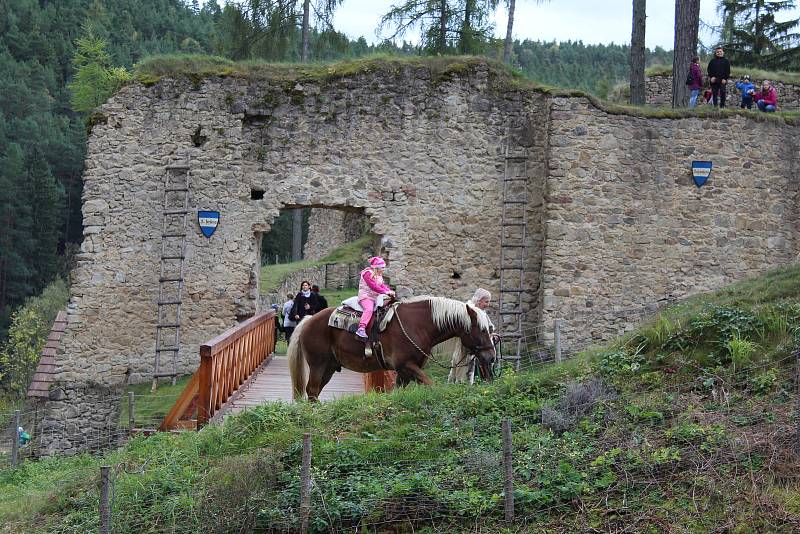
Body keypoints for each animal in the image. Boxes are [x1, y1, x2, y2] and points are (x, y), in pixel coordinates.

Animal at [288, 298, 496, 402]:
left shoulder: (405, 372)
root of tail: (309, 320)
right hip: (318, 364)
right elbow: (431, 384)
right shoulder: (407, 365)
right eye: (482, 330)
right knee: (312, 389)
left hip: (329, 367)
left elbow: (397, 392)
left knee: (315, 391)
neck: (418, 325)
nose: (491, 357)